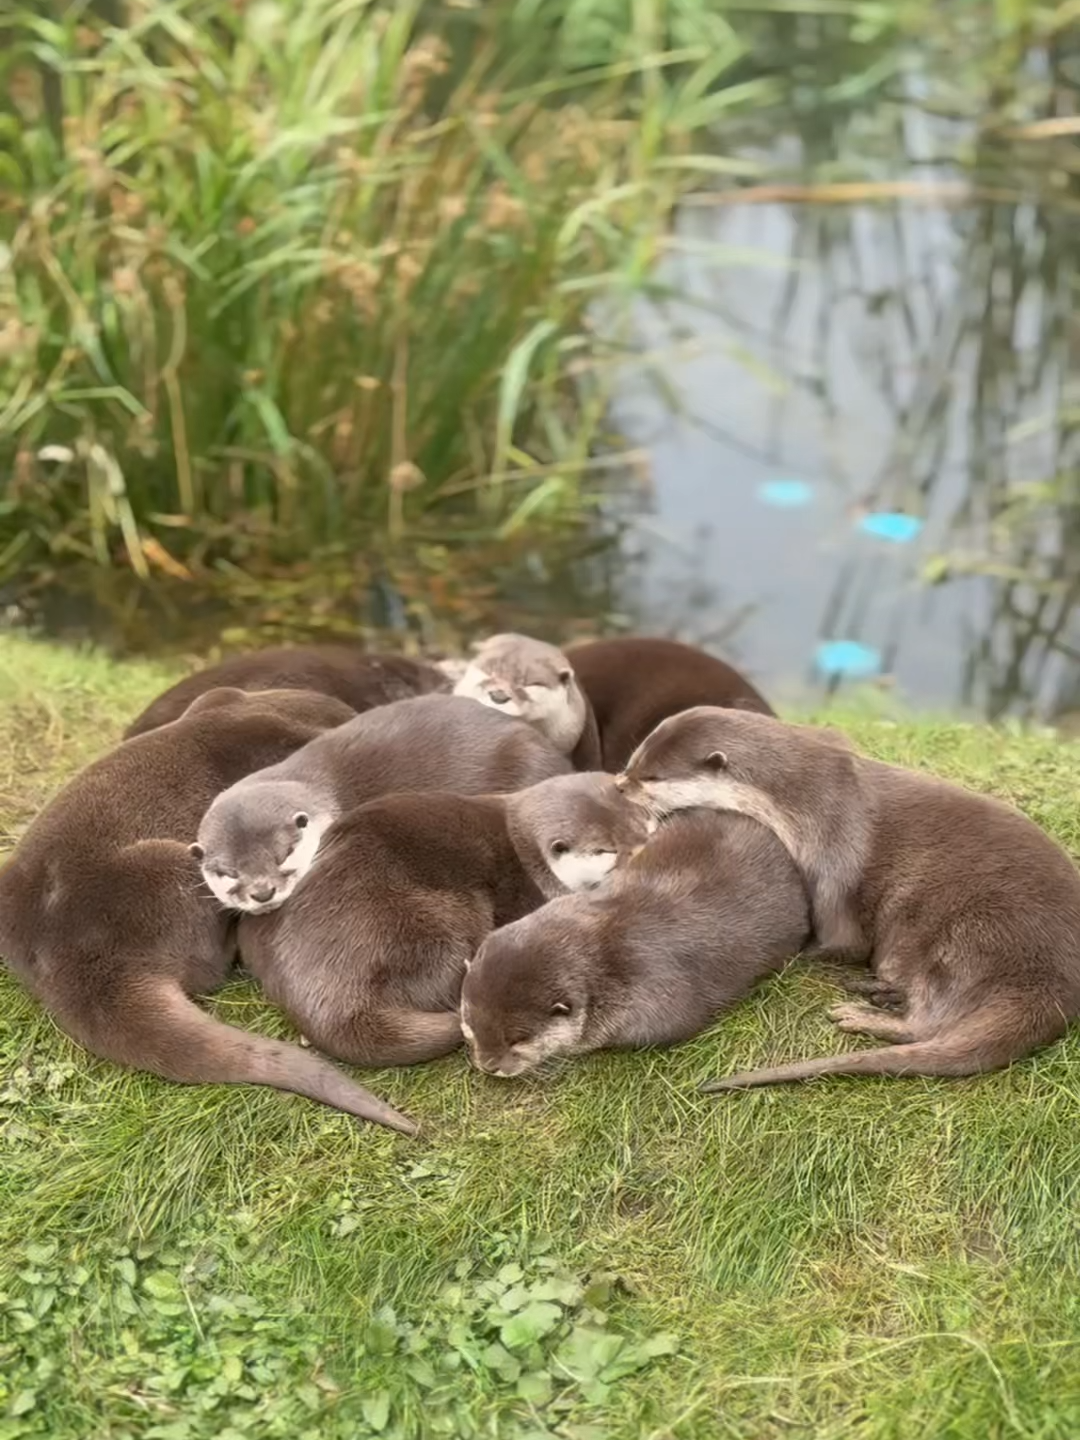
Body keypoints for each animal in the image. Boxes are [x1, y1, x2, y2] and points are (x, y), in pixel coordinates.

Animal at [237, 774, 649, 1067]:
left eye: (641, 823)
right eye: (607, 850)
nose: (644, 849)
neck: (527, 852)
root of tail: (330, 1005)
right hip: (435, 923)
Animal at [617, 706, 1080, 1087]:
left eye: (652, 778)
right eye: (633, 760)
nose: (620, 786)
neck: (803, 800)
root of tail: (1056, 986)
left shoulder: (834, 851)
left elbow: (840, 942)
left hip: (967, 937)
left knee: (927, 1024)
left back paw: (860, 1013)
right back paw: (878, 992)